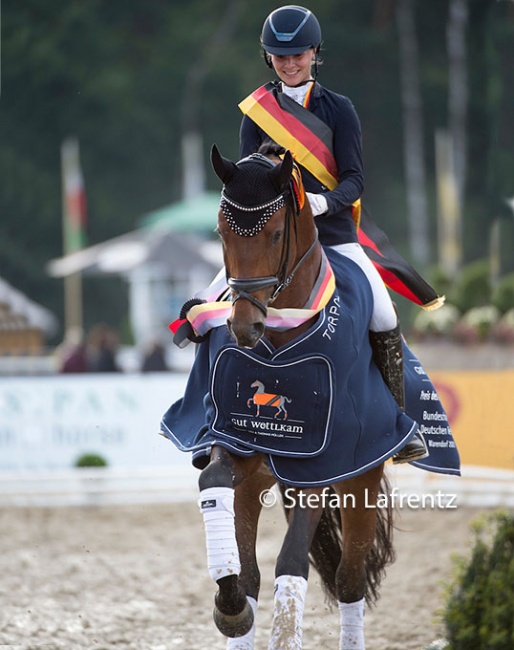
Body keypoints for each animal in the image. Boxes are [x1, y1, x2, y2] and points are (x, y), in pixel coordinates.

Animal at [188, 143, 400, 648]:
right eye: (221, 232)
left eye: (278, 233)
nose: (244, 327)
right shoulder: (235, 440)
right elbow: (214, 486)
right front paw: (229, 607)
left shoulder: (321, 464)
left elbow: (291, 562)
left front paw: (285, 633)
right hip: (261, 478)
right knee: (253, 573)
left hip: (360, 480)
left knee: (350, 578)